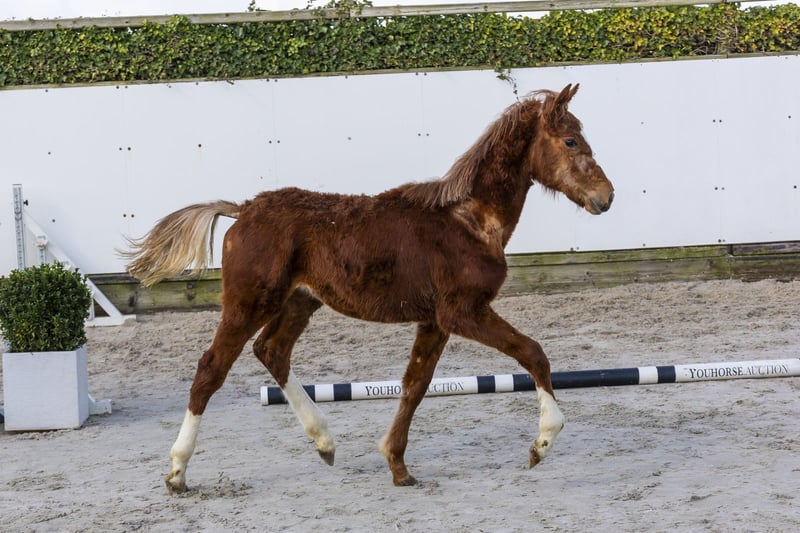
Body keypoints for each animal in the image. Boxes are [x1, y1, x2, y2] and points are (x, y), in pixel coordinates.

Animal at [122, 84, 614, 493]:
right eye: (571, 141)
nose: (606, 197)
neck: (468, 220)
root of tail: (242, 209)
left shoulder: (434, 320)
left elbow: (415, 384)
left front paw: (397, 466)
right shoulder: (463, 312)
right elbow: (533, 352)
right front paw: (542, 443)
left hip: (300, 301)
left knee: (272, 352)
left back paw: (324, 441)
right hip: (248, 302)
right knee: (211, 369)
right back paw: (177, 472)